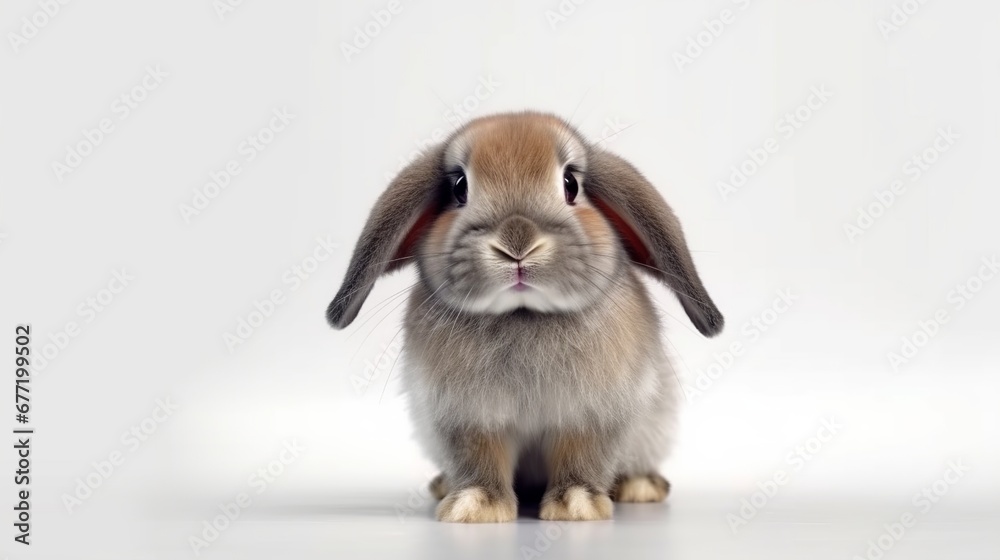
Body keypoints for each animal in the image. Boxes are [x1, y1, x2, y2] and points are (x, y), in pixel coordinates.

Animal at [326, 111, 720, 524]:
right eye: (460, 187)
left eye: (570, 183)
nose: (517, 241)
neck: (523, 315)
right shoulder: (467, 419)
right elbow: (479, 459)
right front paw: (475, 506)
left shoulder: (593, 417)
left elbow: (582, 457)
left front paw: (576, 506)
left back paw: (640, 486)